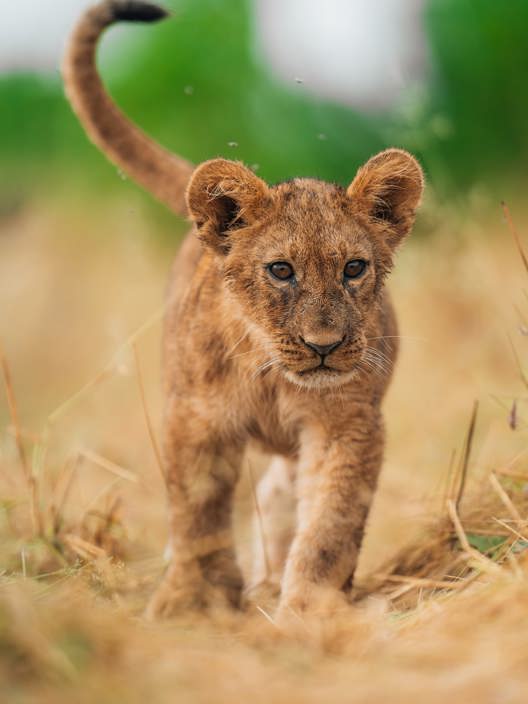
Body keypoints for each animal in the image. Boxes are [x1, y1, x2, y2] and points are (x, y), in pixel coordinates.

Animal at [63, 0, 424, 620]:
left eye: (354, 268)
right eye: (280, 270)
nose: (325, 347)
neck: (269, 372)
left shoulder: (347, 424)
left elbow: (329, 523)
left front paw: (309, 609)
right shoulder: (196, 418)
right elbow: (198, 511)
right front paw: (193, 601)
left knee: (279, 496)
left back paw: (271, 583)